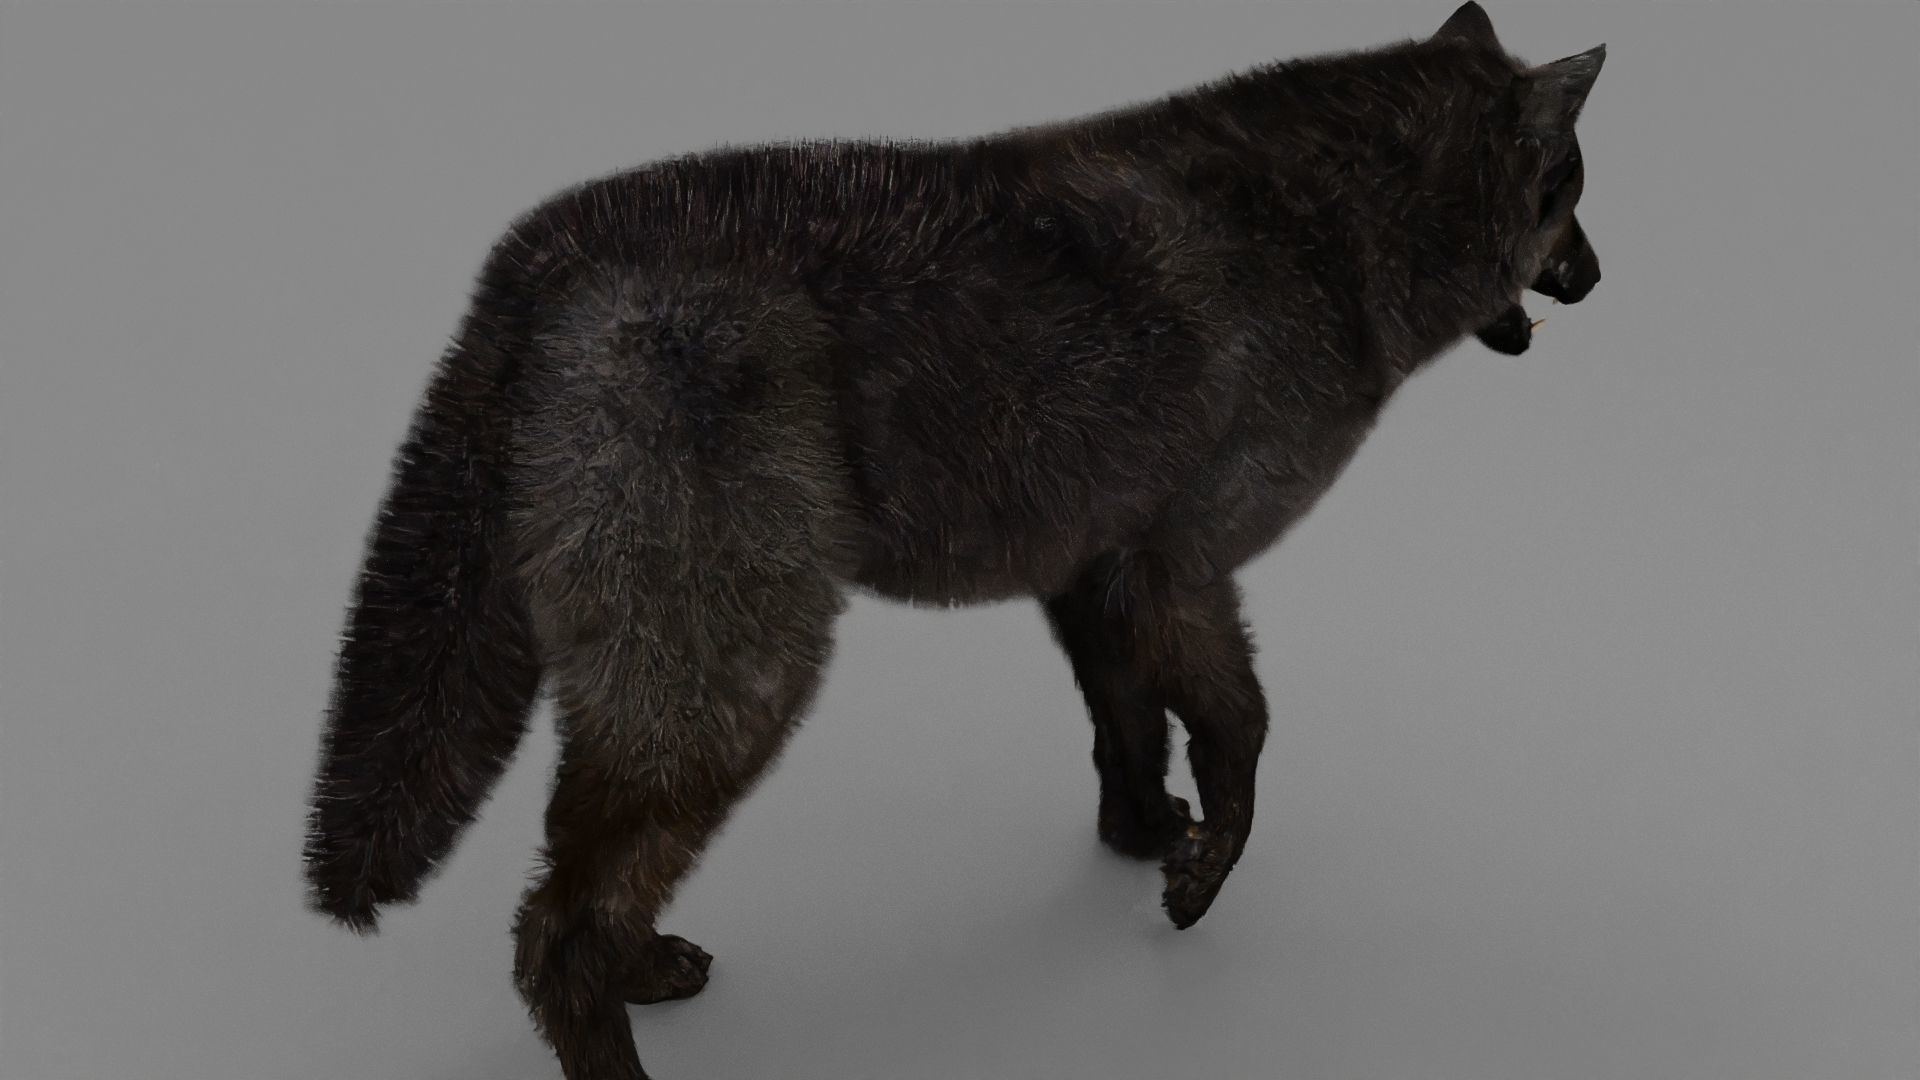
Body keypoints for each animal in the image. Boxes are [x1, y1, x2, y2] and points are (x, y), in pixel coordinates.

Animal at [301, 4, 1604, 1076]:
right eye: (1569, 189)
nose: (1596, 276)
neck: (1325, 232)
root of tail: (549, 246)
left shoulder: (1096, 576)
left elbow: (1129, 729)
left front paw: (1140, 838)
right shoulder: (1181, 572)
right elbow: (1241, 734)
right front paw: (1194, 880)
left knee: (572, 888)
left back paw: (652, 970)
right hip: (736, 688)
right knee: (555, 931)